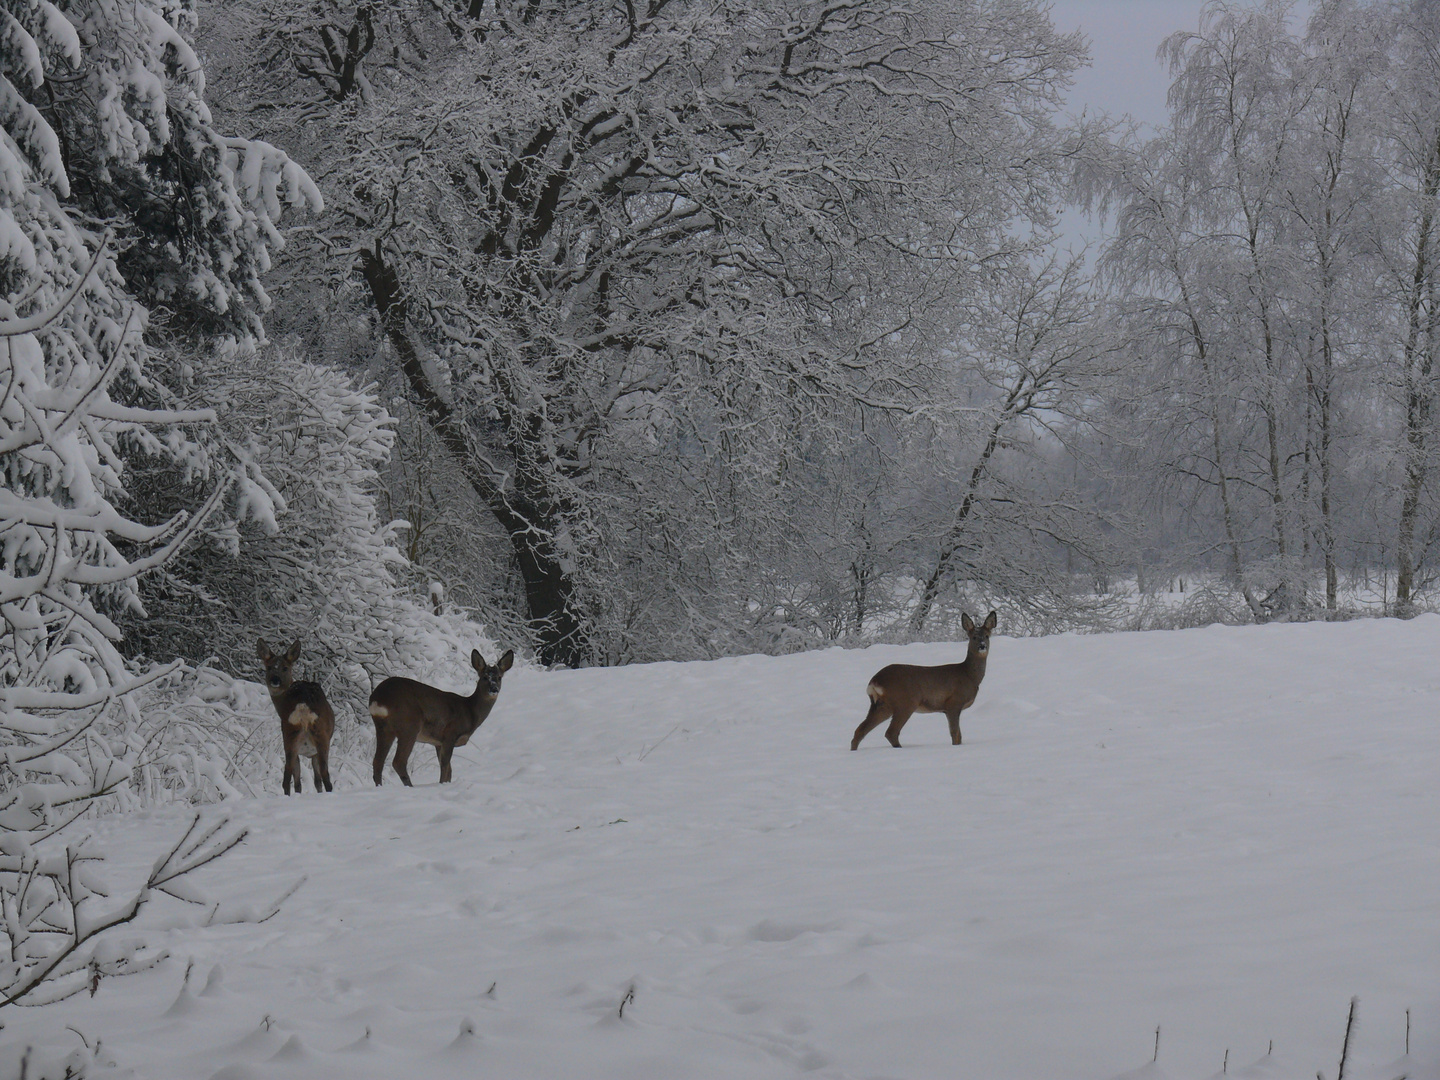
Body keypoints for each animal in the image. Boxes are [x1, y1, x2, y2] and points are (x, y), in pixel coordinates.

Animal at [257, 642, 335, 794]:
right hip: (319, 736)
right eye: (269, 667)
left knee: (287, 777)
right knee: (325, 776)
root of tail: (302, 705)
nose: (275, 680)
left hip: (289, 735)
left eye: (285, 668)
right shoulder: (312, 752)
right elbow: (315, 781)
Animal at [368, 648, 515, 789]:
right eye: (485, 677)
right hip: (409, 726)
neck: (470, 712)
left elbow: (449, 769)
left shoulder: (438, 742)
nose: (494, 689)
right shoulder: (450, 734)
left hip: (384, 728)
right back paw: (410, 786)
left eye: (499, 677)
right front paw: (442, 785)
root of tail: (378, 698)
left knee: (378, 761)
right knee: (398, 761)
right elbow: (445, 766)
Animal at [846, 610, 996, 754]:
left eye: (987, 636)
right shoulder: (953, 703)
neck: (969, 675)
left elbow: (959, 735)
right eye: (973, 637)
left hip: (882, 705)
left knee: (860, 730)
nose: (982, 646)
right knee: (891, 732)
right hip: (905, 702)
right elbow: (956, 734)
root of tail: (874, 681)